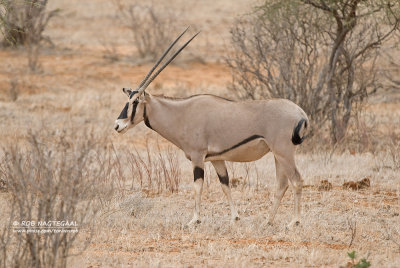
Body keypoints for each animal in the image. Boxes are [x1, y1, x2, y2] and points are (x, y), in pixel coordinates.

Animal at [114, 28, 308, 227]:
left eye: (135, 101)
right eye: (128, 99)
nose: (117, 125)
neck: (182, 113)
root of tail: (300, 113)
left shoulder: (198, 156)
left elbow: (197, 186)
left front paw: (194, 220)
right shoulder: (217, 159)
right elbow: (225, 184)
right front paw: (235, 217)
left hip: (284, 152)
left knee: (296, 180)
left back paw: (294, 222)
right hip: (278, 155)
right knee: (282, 184)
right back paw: (268, 221)